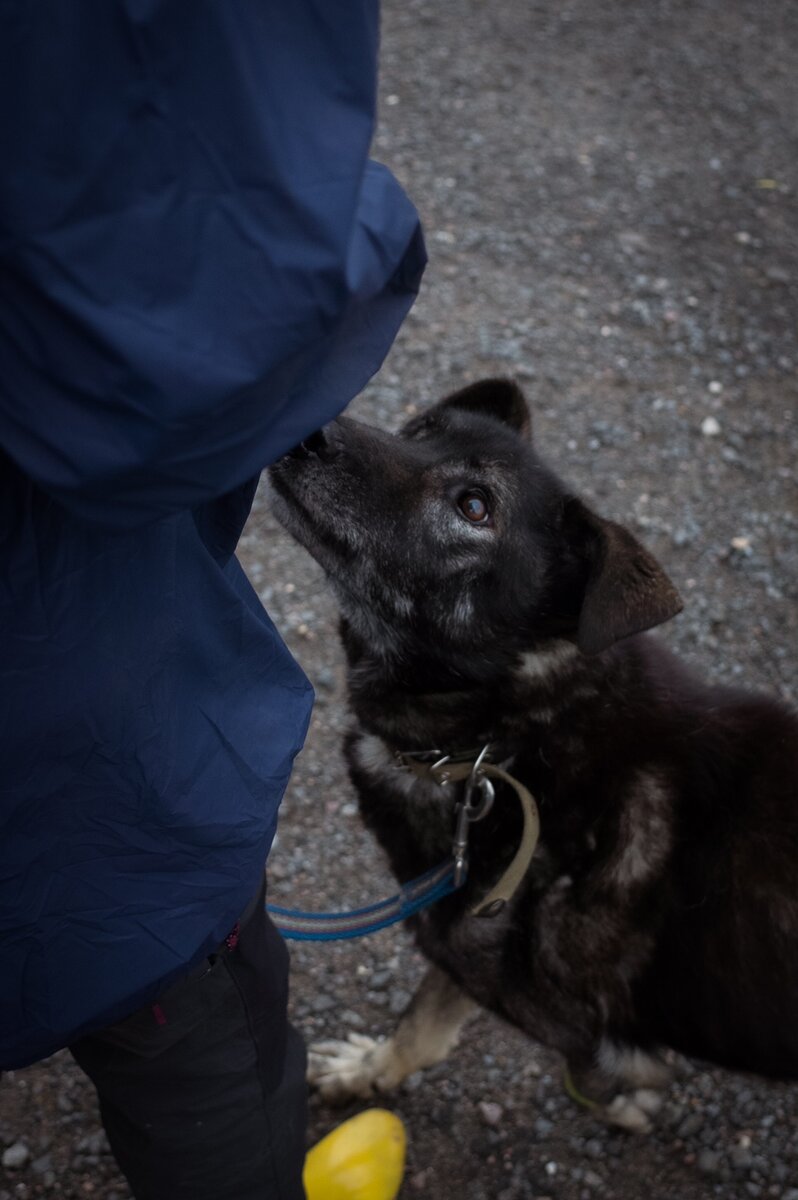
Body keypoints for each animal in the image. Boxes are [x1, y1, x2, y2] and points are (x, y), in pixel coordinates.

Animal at [268, 379, 796, 1128]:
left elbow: (428, 1030)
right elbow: (422, 1024)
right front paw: (365, 1073)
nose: (306, 427)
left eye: (475, 507)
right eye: (419, 430)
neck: (505, 742)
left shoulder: (561, 1017)